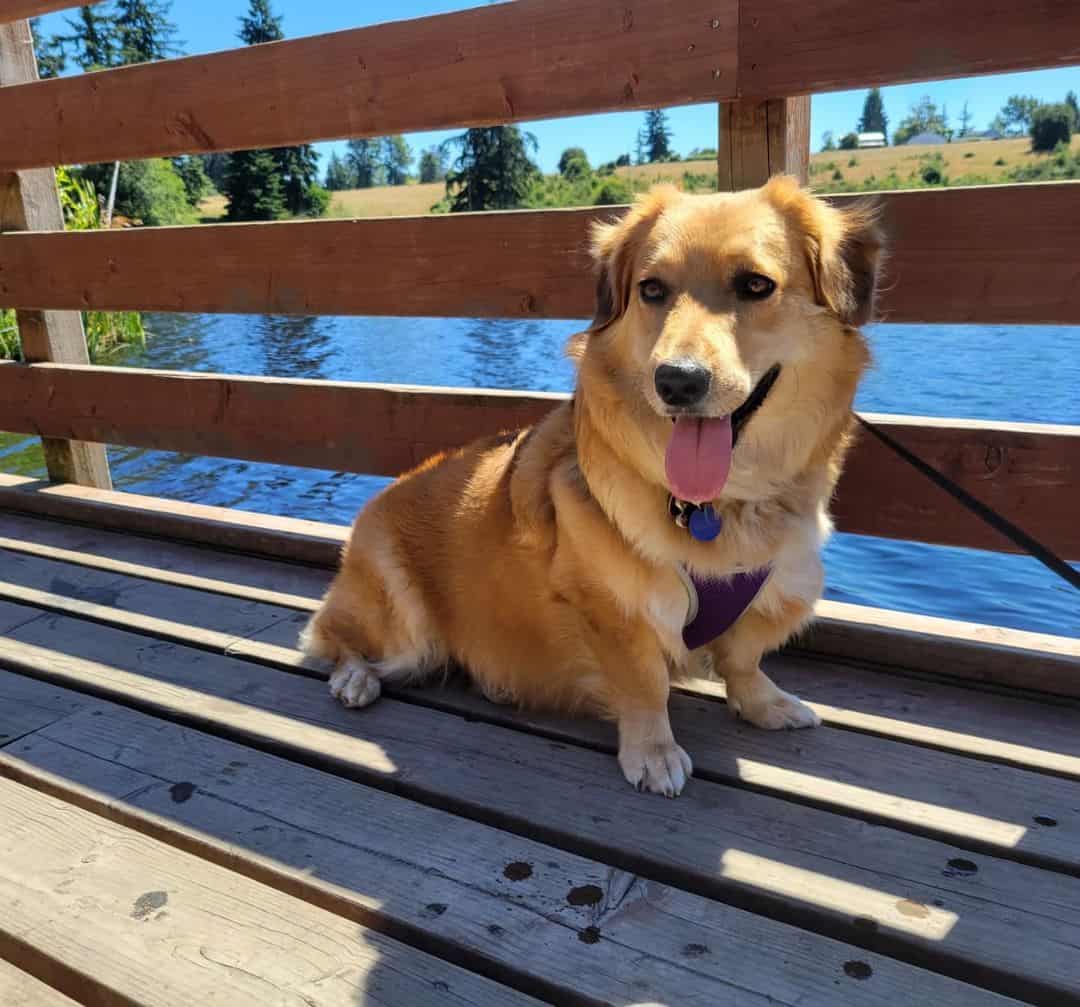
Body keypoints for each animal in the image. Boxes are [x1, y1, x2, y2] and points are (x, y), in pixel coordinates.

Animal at [304, 179, 885, 795]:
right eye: (651, 289)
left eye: (756, 285)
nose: (676, 381)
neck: (711, 505)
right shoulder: (611, 608)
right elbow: (645, 683)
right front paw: (654, 752)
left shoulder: (781, 582)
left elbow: (744, 657)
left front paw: (763, 703)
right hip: (405, 633)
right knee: (330, 637)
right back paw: (354, 680)